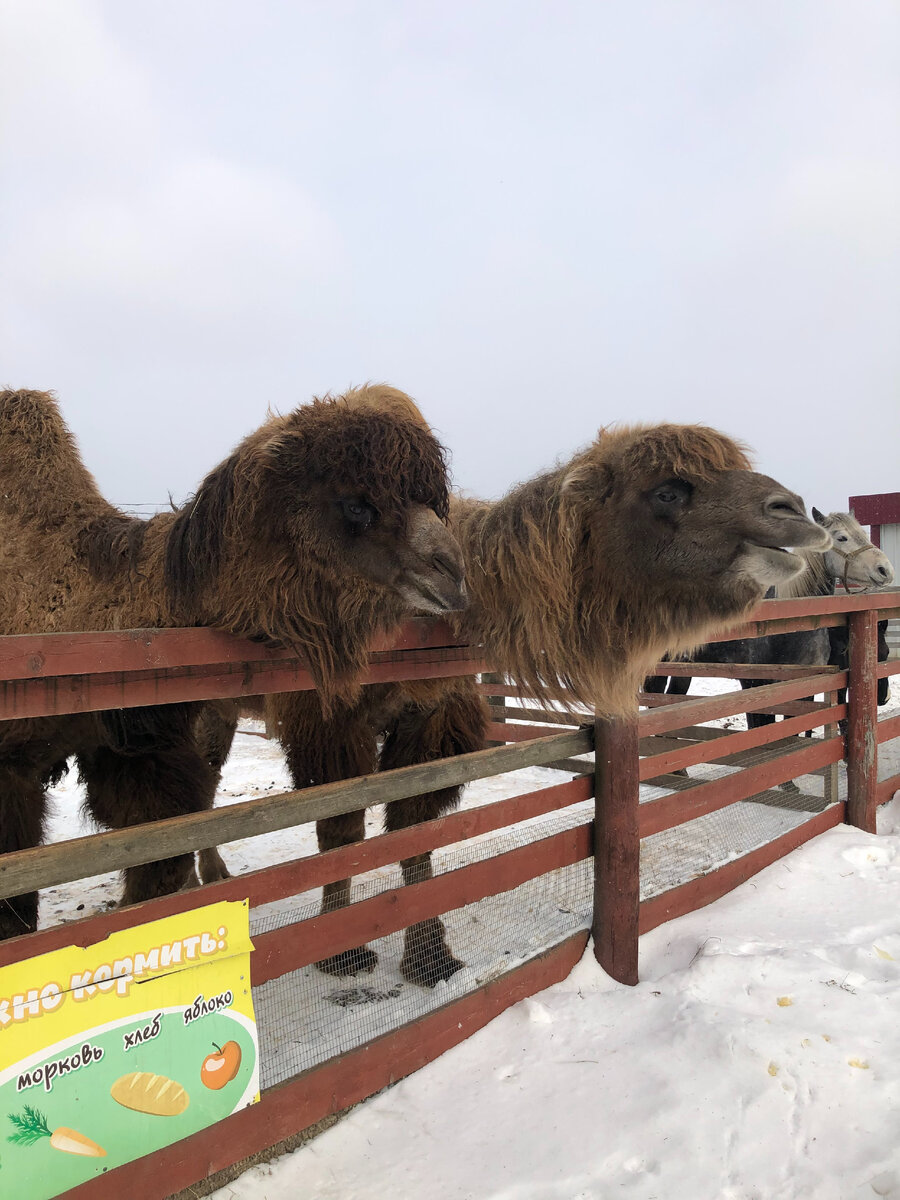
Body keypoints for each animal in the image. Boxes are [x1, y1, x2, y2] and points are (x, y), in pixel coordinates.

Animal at [202, 420, 830, 984]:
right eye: (669, 490)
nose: (792, 510)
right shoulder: (326, 717)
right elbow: (341, 830)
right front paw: (343, 956)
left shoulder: (430, 718)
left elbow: (413, 828)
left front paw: (430, 958)